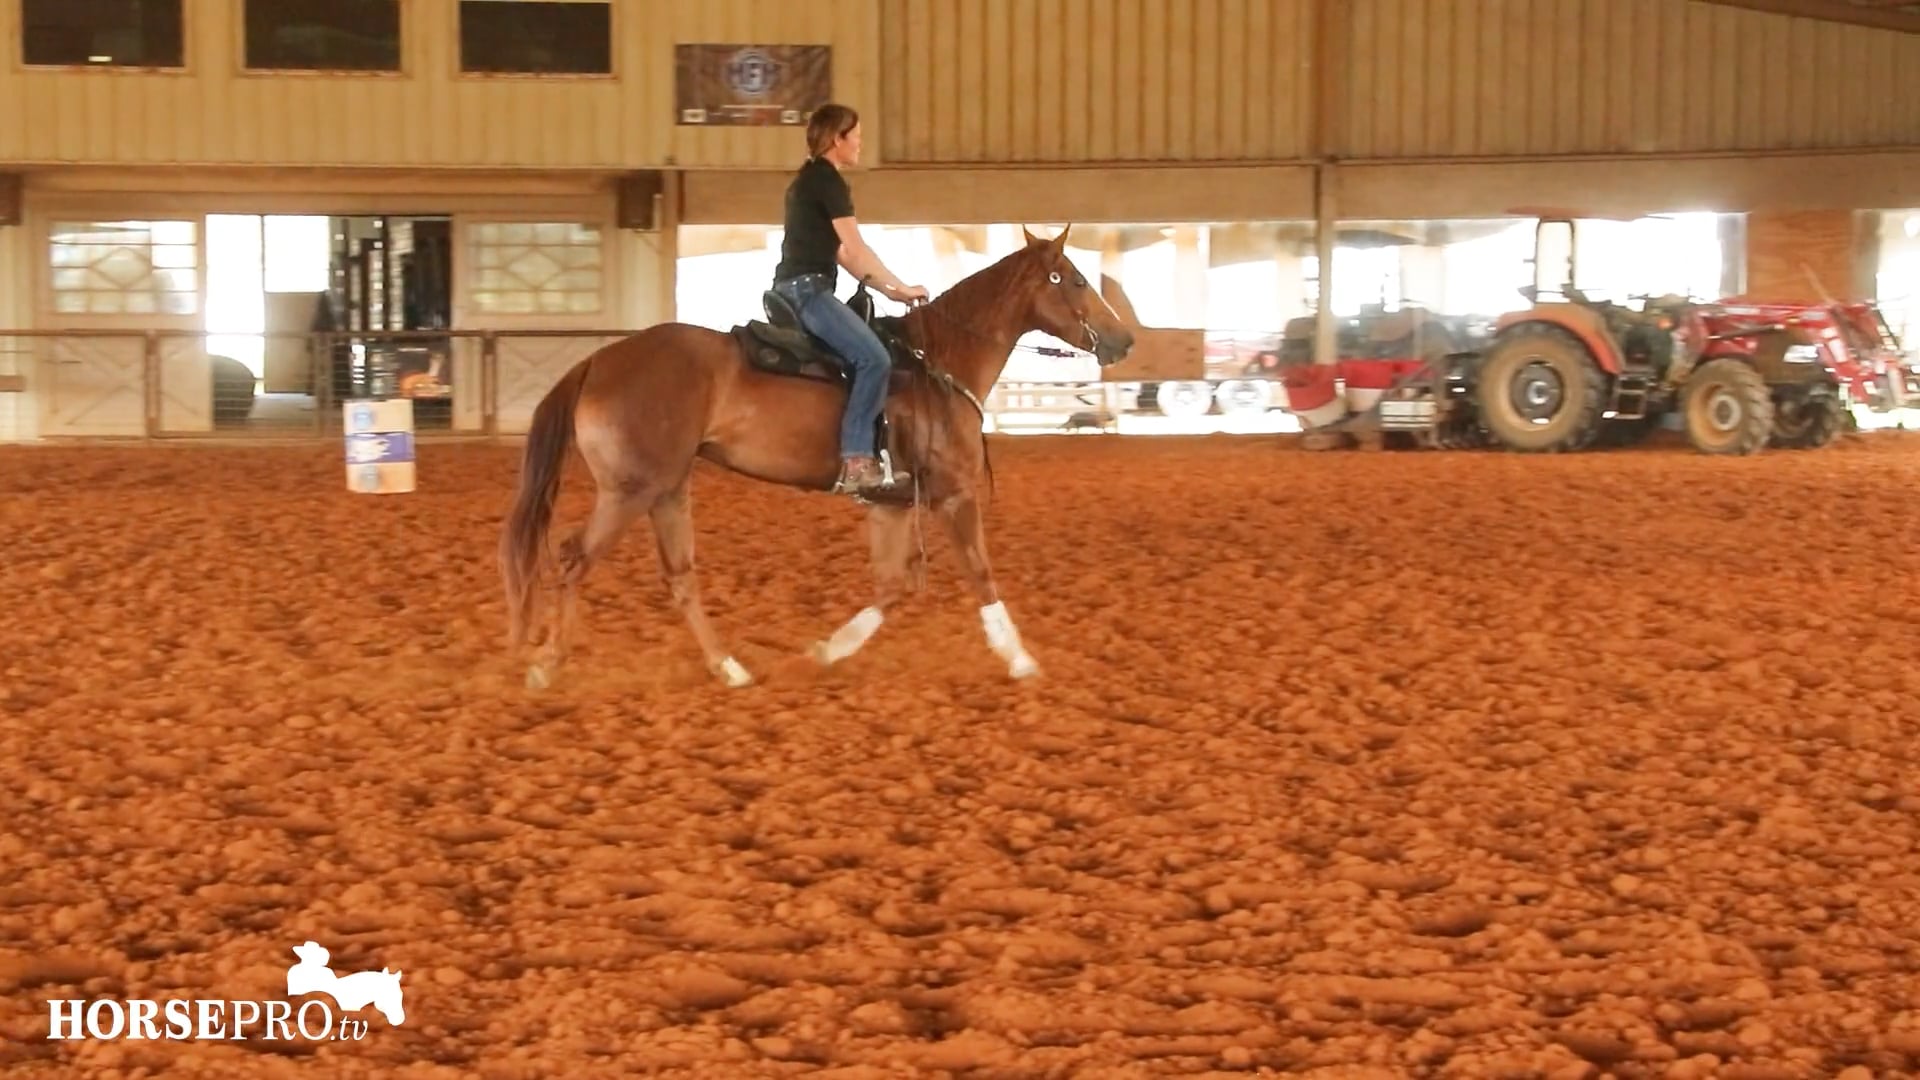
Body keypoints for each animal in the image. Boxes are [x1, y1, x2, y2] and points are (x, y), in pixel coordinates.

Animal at [498, 225, 1136, 690]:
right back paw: (546, 665)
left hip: (667, 489)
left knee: (679, 577)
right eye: (1071, 279)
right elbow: (980, 573)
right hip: (631, 490)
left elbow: (891, 587)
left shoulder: (892, 503)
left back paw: (729, 668)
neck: (938, 364)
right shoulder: (955, 494)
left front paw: (825, 651)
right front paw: (1021, 659)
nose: (1123, 339)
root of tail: (599, 362)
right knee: (575, 558)